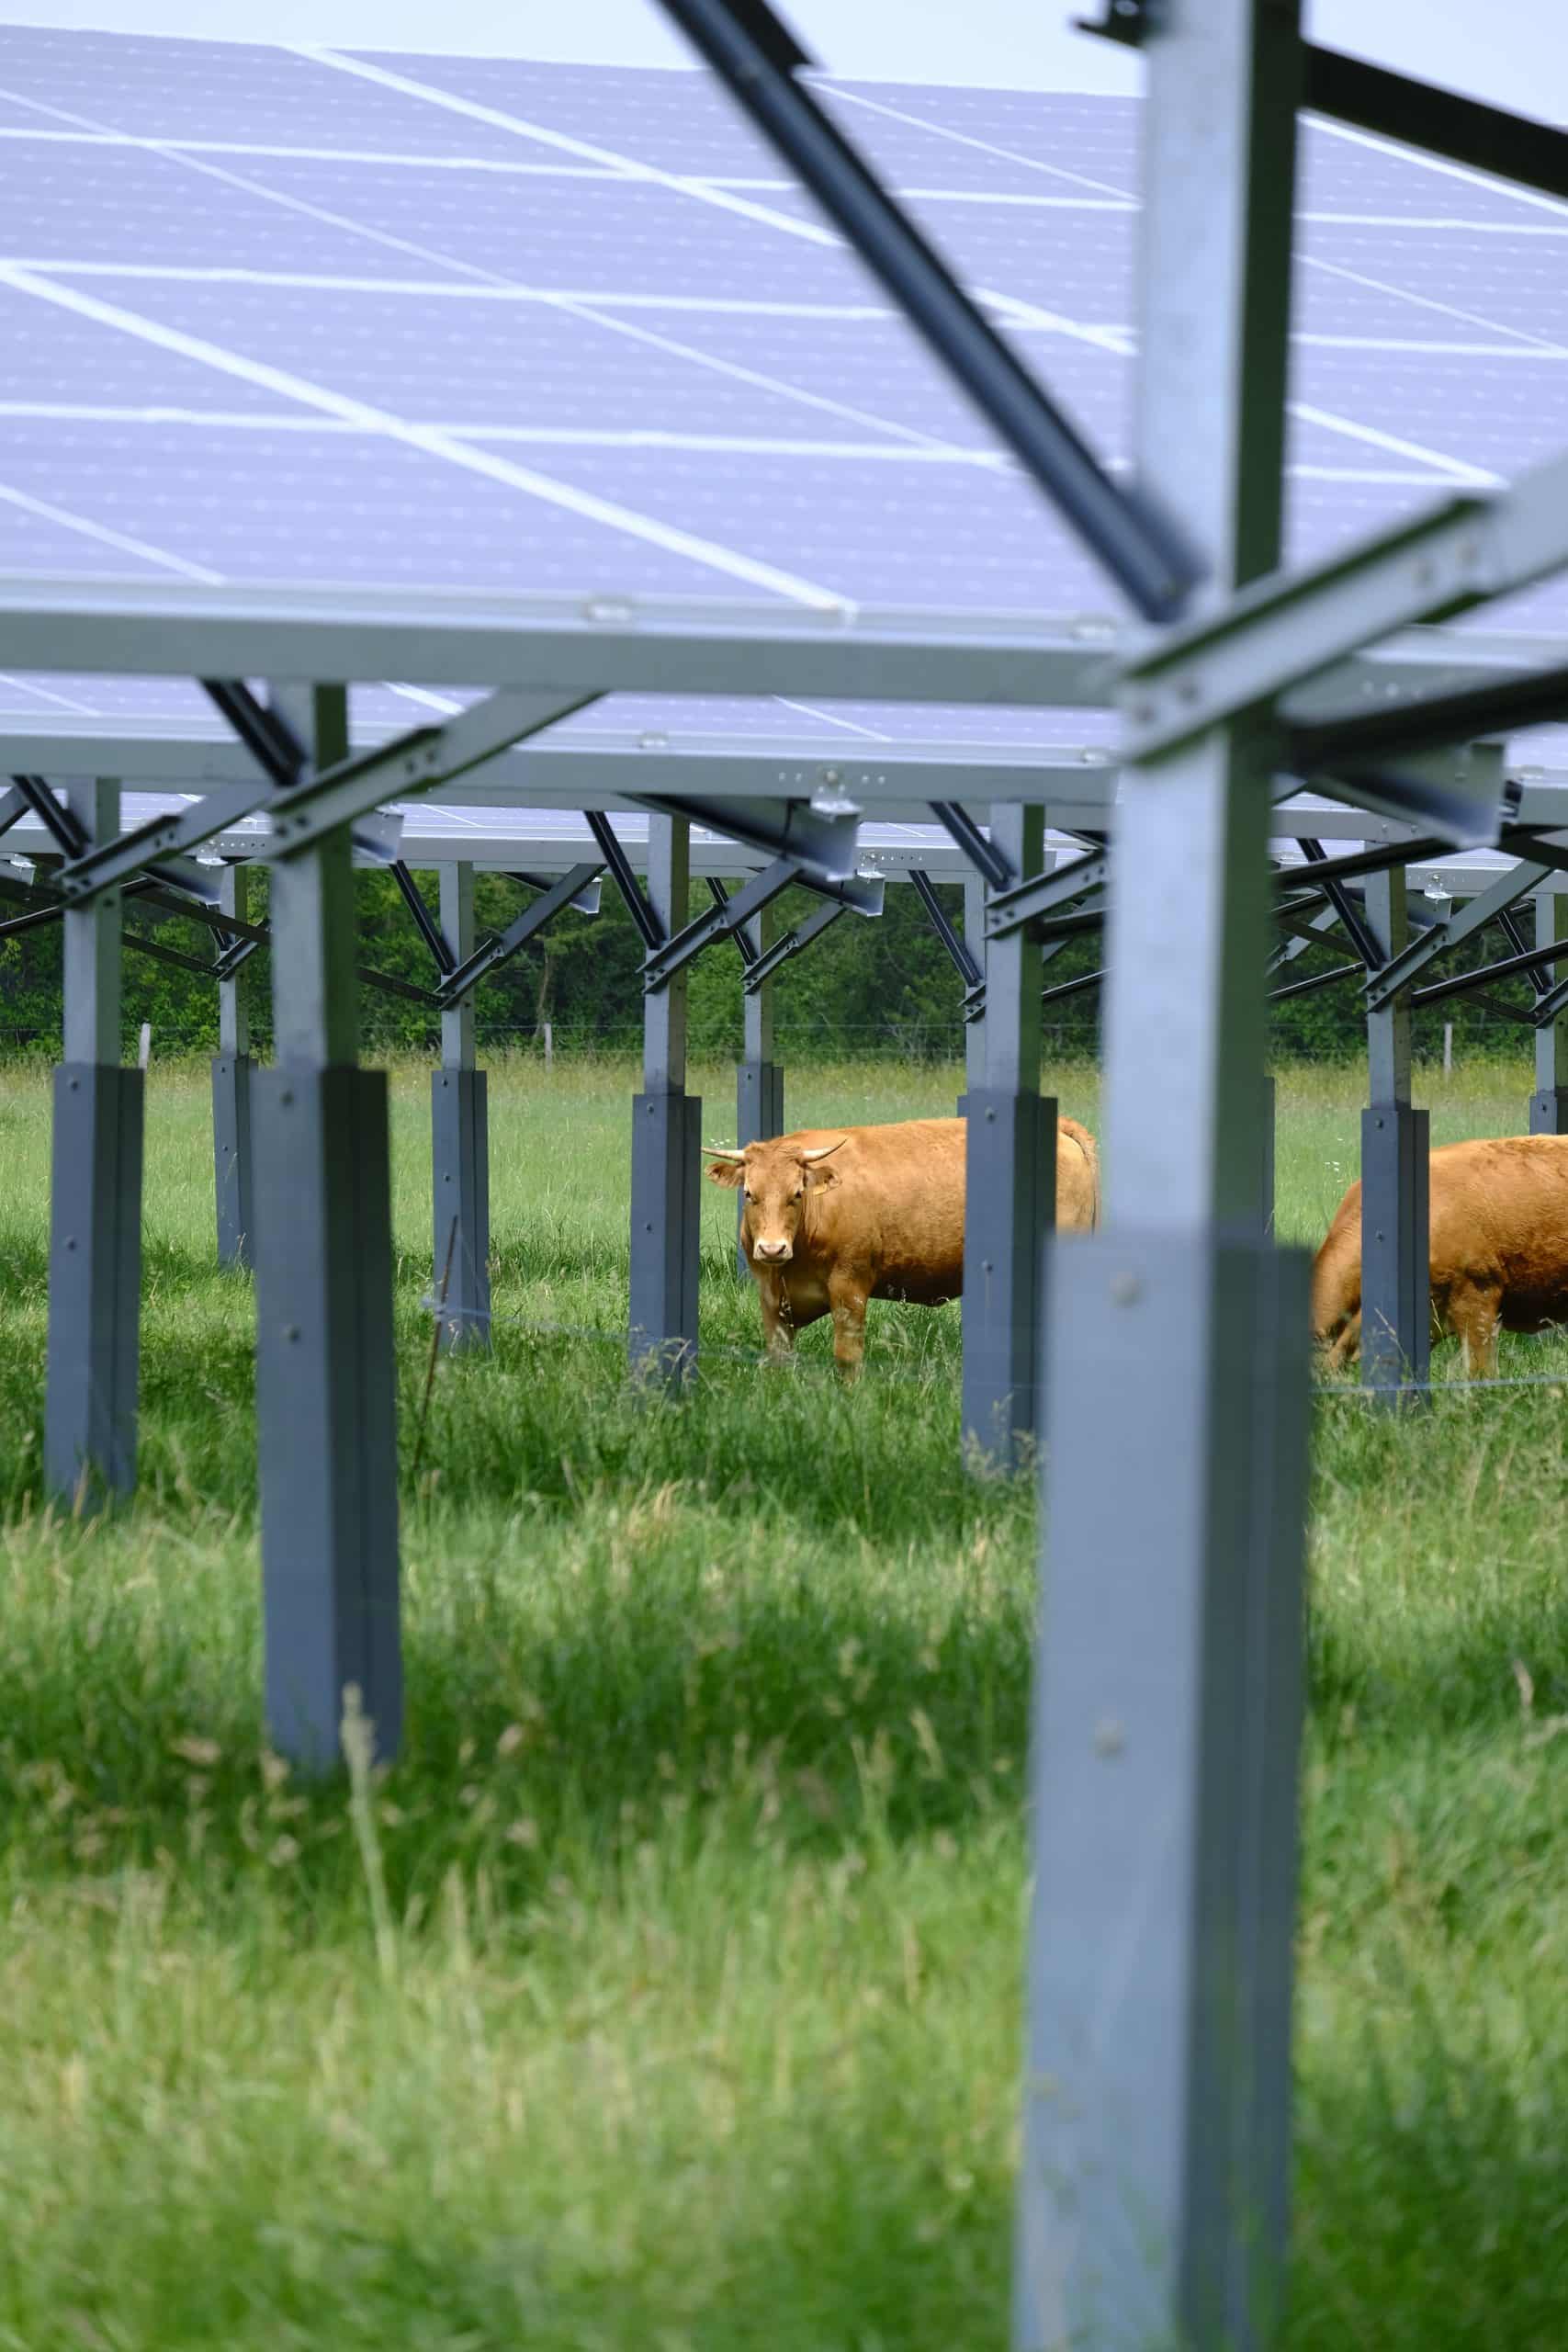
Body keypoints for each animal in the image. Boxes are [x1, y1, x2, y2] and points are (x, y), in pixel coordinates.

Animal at [706, 1113, 1100, 1375]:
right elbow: (779, 1357)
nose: (772, 1249)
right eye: (749, 1193)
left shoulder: (849, 1287)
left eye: (797, 1194)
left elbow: (847, 1357)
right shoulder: (771, 1298)